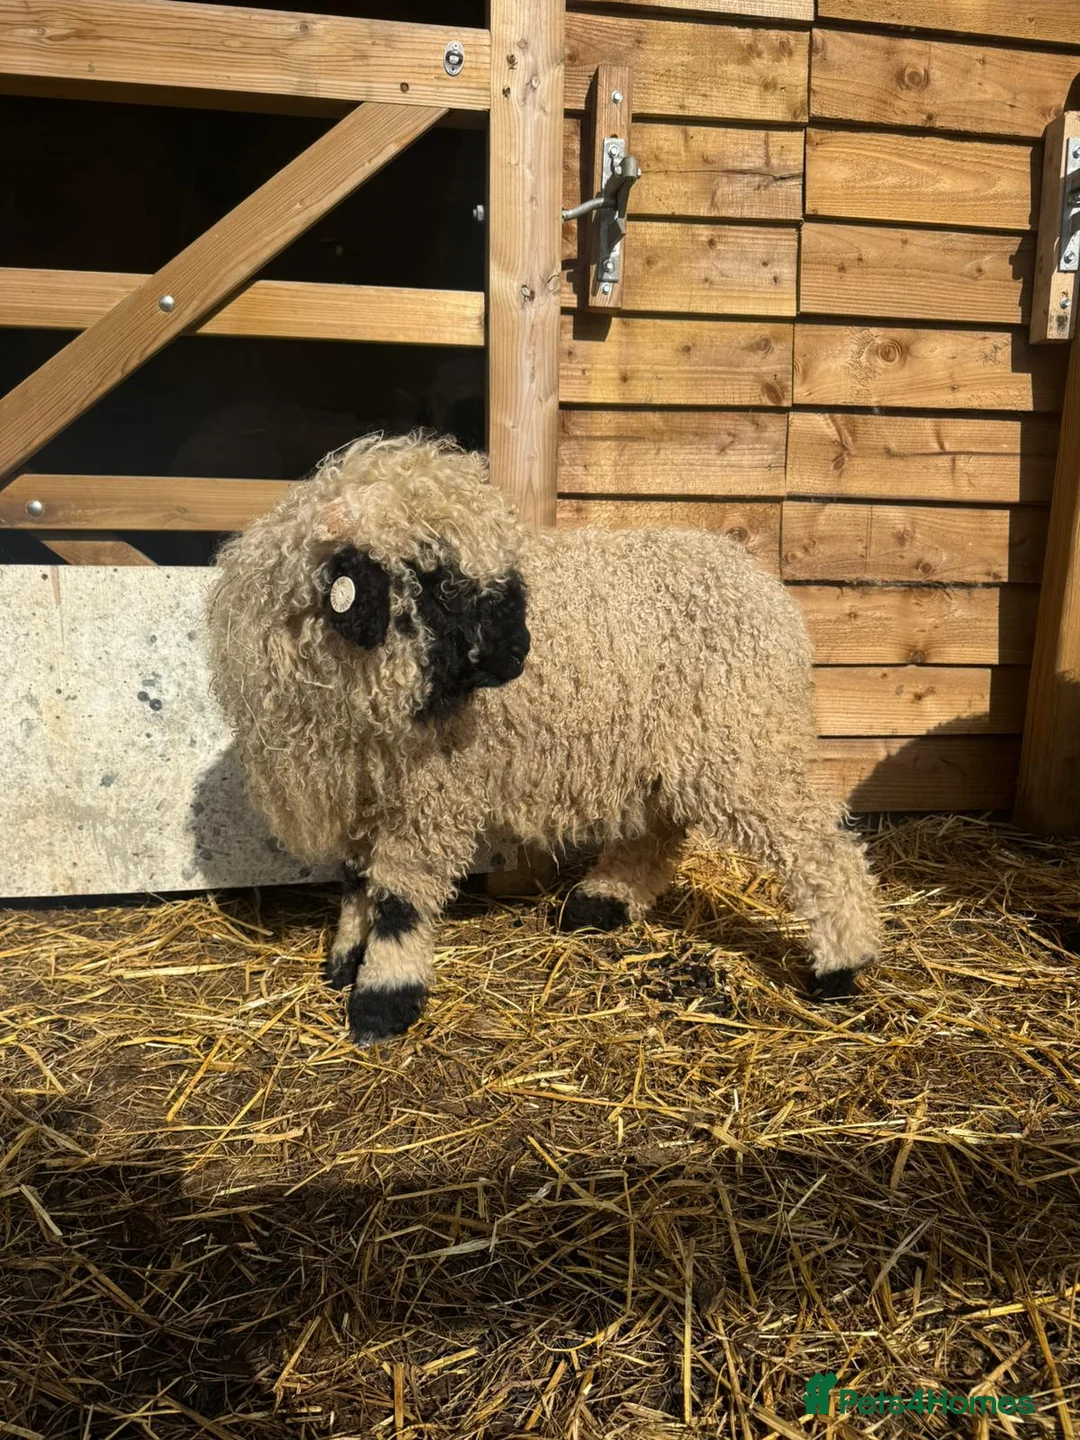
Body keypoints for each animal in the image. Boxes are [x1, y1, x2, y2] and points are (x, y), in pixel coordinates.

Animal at [208, 432, 882, 1046]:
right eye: (434, 579)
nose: (517, 654)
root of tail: (764, 586)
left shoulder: (431, 795)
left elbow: (400, 898)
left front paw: (382, 1001)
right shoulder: (364, 788)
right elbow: (356, 882)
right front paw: (346, 959)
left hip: (743, 738)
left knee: (819, 846)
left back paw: (841, 965)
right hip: (674, 738)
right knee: (661, 830)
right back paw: (602, 903)